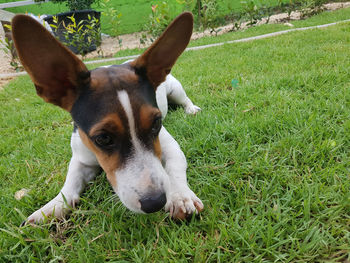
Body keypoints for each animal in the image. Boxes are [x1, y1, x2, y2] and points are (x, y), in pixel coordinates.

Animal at [12, 11, 204, 224]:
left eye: (156, 123)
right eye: (103, 138)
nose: (155, 202)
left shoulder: (170, 147)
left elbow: (174, 169)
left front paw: (180, 197)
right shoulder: (81, 159)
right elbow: (70, 182)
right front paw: (52, 207)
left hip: (175, 89)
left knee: (185, 99)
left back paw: (191, 109)